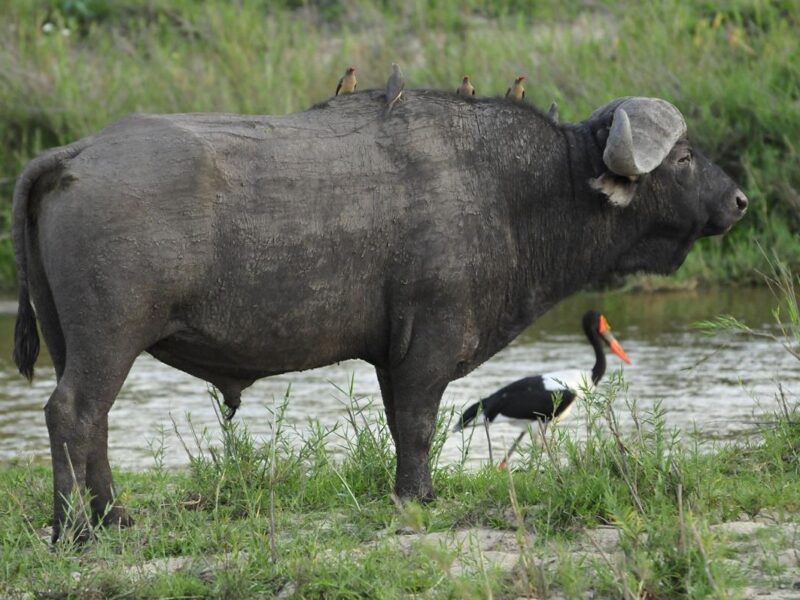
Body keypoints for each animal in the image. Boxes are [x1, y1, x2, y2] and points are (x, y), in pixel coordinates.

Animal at [12, 91, 748, 540]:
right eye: (684, 157)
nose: (739, 201)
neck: (514, 190)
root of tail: (77, 154)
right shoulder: (428, 345)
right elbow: (419, 426)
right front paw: (418, 498)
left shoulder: (393, 357)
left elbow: (400, 426)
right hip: (110, 338)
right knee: (71, 413)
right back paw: (73, 529)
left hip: (76, 341)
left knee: (96, 423)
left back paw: (113, 516)